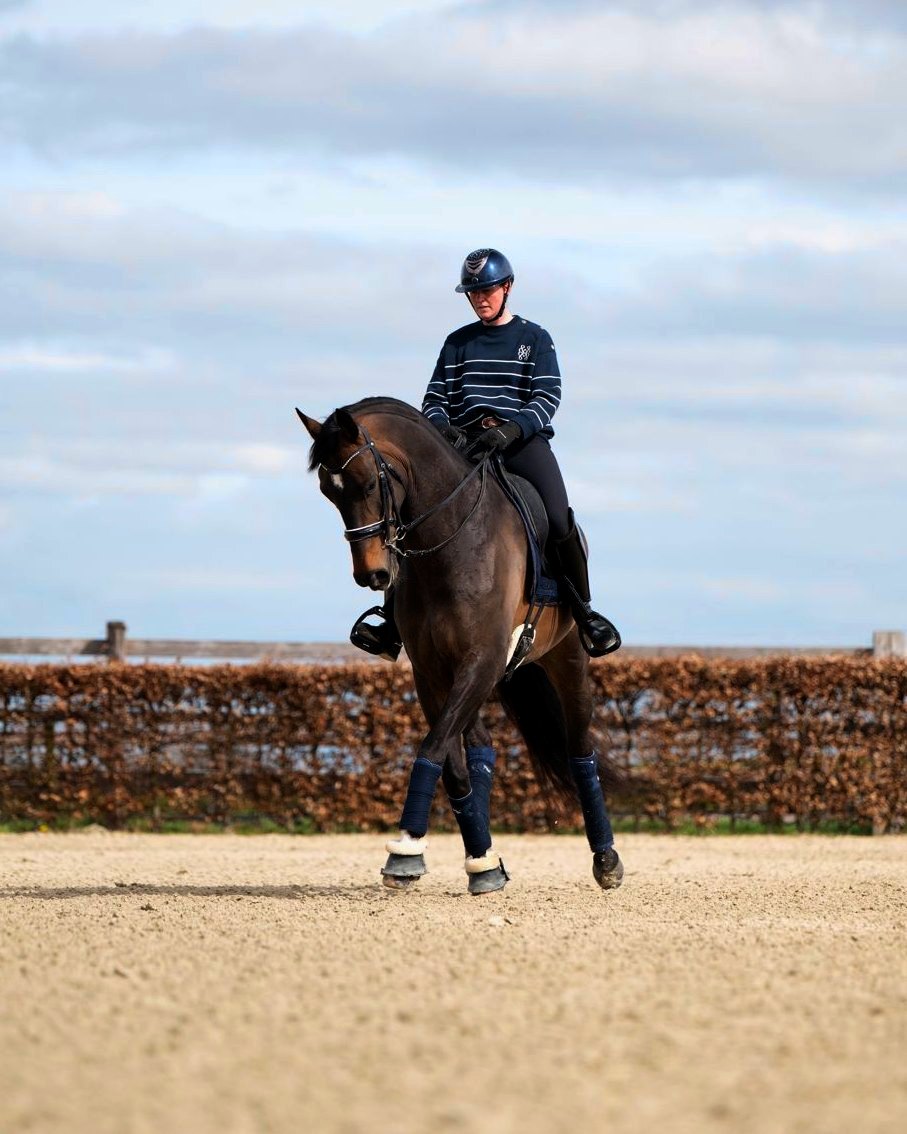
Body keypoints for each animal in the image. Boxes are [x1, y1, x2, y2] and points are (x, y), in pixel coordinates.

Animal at [297, 396, 623, 894]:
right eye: (327, 493)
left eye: (370, 482)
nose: (374, 575)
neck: (449, 542)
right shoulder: (432, 670)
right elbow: (449, 760)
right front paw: (461, 859)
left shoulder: (482, 659)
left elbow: (433, 747)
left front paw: (403, 853)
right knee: (481, 743)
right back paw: (483, 855)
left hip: (565, 658)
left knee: (579, 748)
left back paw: (606, 860)